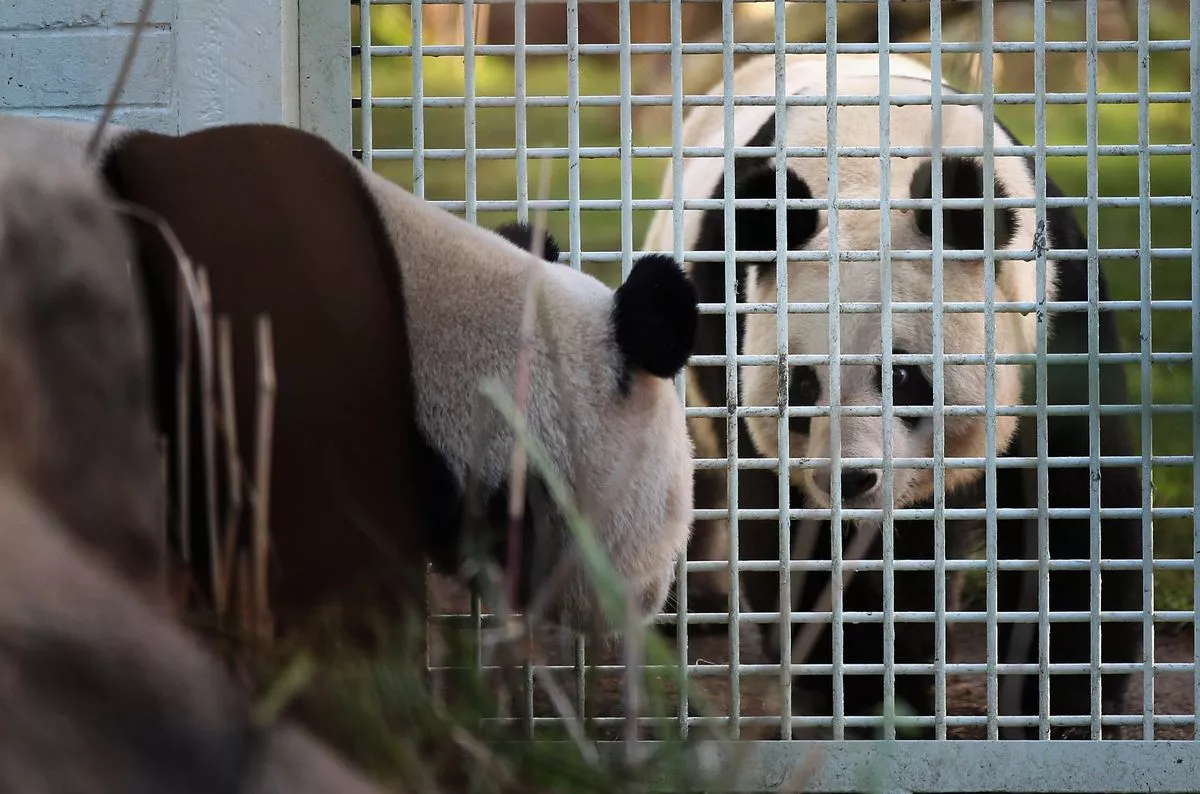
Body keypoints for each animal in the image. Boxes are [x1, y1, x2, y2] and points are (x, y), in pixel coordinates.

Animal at [643, 54, 1147, 738]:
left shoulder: (1055, 312)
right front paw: (869, 708)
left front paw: (1062, 715)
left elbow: (1077, 513)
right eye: (803, 384)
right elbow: (809, 549)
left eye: (904, 377)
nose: (850, 479)